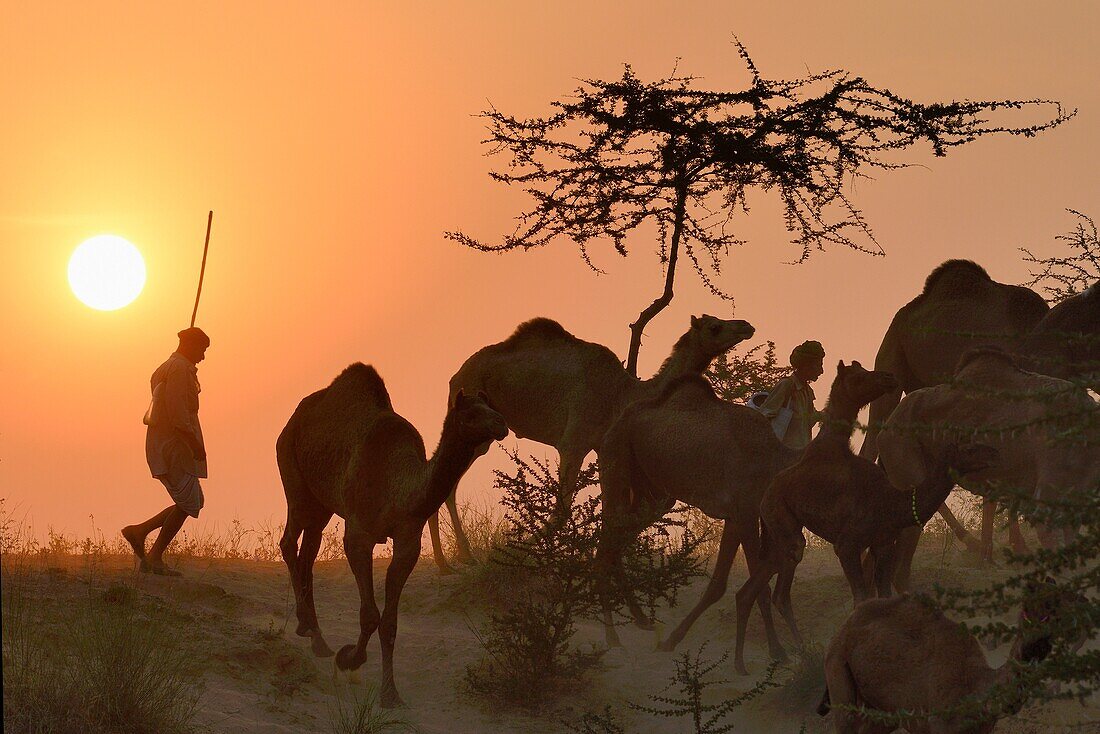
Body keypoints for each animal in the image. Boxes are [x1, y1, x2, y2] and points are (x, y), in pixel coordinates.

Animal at [275, 365, 506, 708]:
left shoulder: (408, 540)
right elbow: (370, 615)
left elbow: (390, 622)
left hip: (323, 502)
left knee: (310, 548)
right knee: (290, 541)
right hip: (293, 473)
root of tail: (293, 418)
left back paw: (315, 634)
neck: (400, 490)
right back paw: (310, 630)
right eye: (471, 413)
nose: (502, 424)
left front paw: (390, 693)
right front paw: (350, 659)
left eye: (489, 404)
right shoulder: (359, 535)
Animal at [429, 312, 756, 572]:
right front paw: (519, 552)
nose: (746, 325)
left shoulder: (603, 445)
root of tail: (455, 376)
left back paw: (453, 559)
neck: (622, 395)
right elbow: (564, 509)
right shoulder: (573, 441)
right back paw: (456, 559)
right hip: (474, 415)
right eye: (715, 326)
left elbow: (619, 509)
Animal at [594, 376, 792, 669]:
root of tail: (617, 421)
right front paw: (777, 649)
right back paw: (612, 636)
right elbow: (760, 587)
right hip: (615, 461)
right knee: (606, 542)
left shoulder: (735, 516)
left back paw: (641, 620)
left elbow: (718, 585)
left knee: (614, 541)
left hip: (653, 495)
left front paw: (671, 641)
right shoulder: (746, 510)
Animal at [818, 589, 1056, 734]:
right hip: (837, 664)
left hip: (882, 710)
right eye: (1026, 611)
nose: (1039, 643)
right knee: (846, 719)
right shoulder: (938, 724)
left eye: (1054, 607)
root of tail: (845, 625)